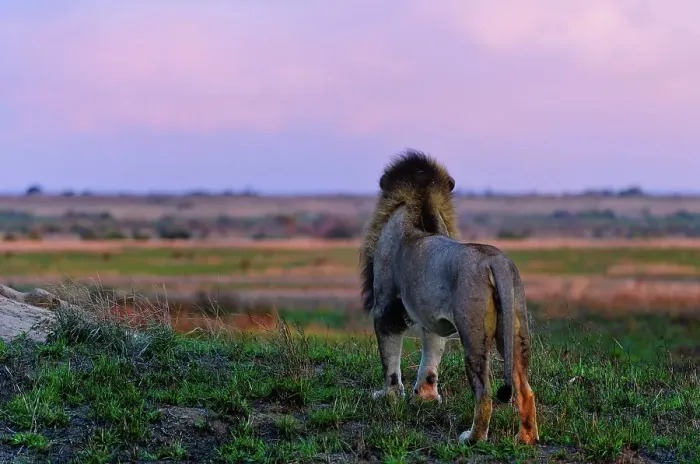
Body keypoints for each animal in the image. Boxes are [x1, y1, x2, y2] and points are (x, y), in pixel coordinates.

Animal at [359, 150, 539, 445]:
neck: (419, 204)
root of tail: (495, 262)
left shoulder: (386, 308)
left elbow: (390, 361)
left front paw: (388, 397)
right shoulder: (434, 318)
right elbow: (431, 359)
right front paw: (426, 398)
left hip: (474, 332)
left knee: (484, 394)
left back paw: (472, 438)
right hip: (515, 330)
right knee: (525, 389)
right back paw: (525, 439)